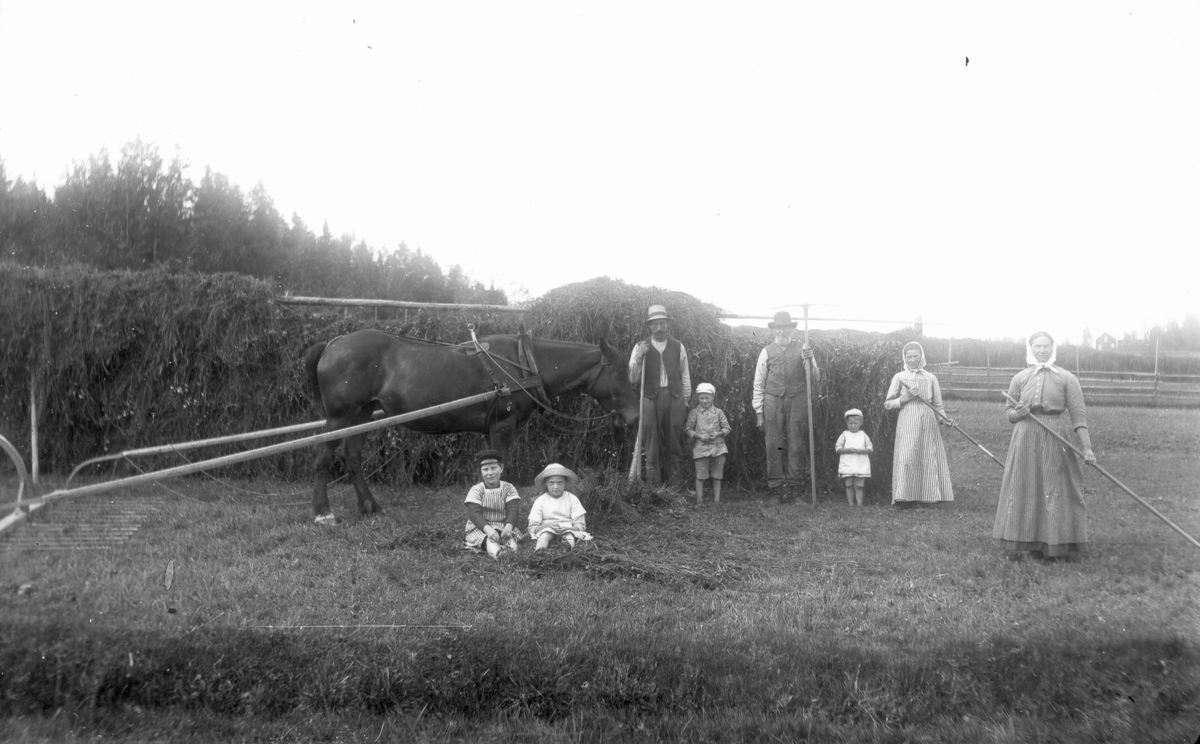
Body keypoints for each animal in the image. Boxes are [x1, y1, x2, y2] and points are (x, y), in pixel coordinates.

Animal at [302, 331, 638, 523]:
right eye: (621, 374)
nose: (634, 416)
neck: (522, 365)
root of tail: (332, 345)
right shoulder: (502, 426)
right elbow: (502, 470)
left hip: (361, 415)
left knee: (353, 458)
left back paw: (370, 507)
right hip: (340, 416)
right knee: (320, 457)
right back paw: (322, 512)